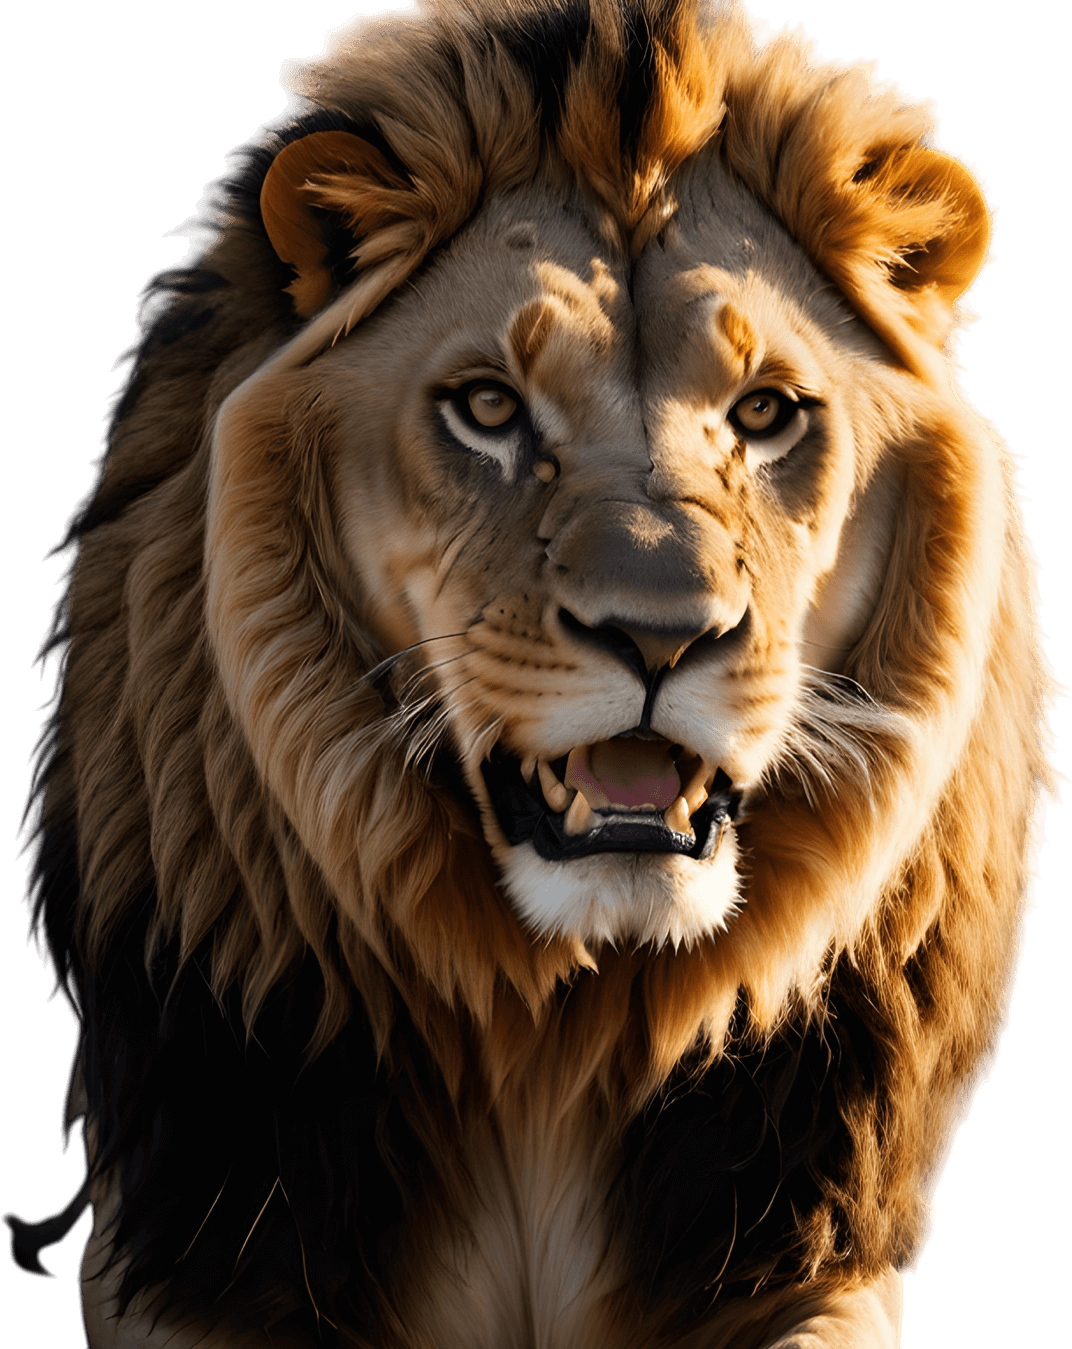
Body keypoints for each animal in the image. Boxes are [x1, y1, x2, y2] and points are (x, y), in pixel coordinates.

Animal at [13, 1, 1059, 1345]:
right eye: (487, 408)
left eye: (766, 412)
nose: (661, 636)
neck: (562, 1029)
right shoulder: (190, 1233)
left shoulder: (812, 1246)